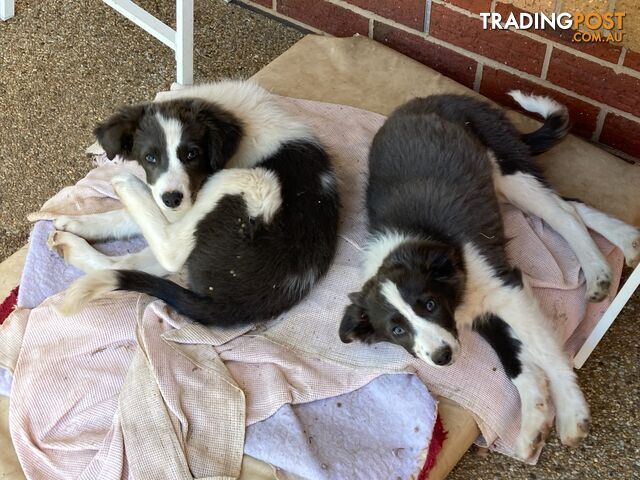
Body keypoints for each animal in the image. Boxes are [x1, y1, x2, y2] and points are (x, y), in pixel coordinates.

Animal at [48, 80, 340, 326]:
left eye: (192, 154)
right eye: (150, 157)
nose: (171, 198)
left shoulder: (192, 194)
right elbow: (130, 216)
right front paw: (79, 222)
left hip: (252, 183)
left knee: (170, 250)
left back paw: (126, 185)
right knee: (128, 263)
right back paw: (69, 244)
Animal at [338, 91, 636, 462]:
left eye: (430, 305)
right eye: (397, 330)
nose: (442, 357)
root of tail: (440, 97)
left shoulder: (508, 287)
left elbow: (548, 353)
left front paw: (571, 413)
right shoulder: (480, 309)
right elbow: (516, 360)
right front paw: (534, 420)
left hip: (508, 168)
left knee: (566, 212)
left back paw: (600, 265)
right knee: (573, 204)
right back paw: (622, 244)